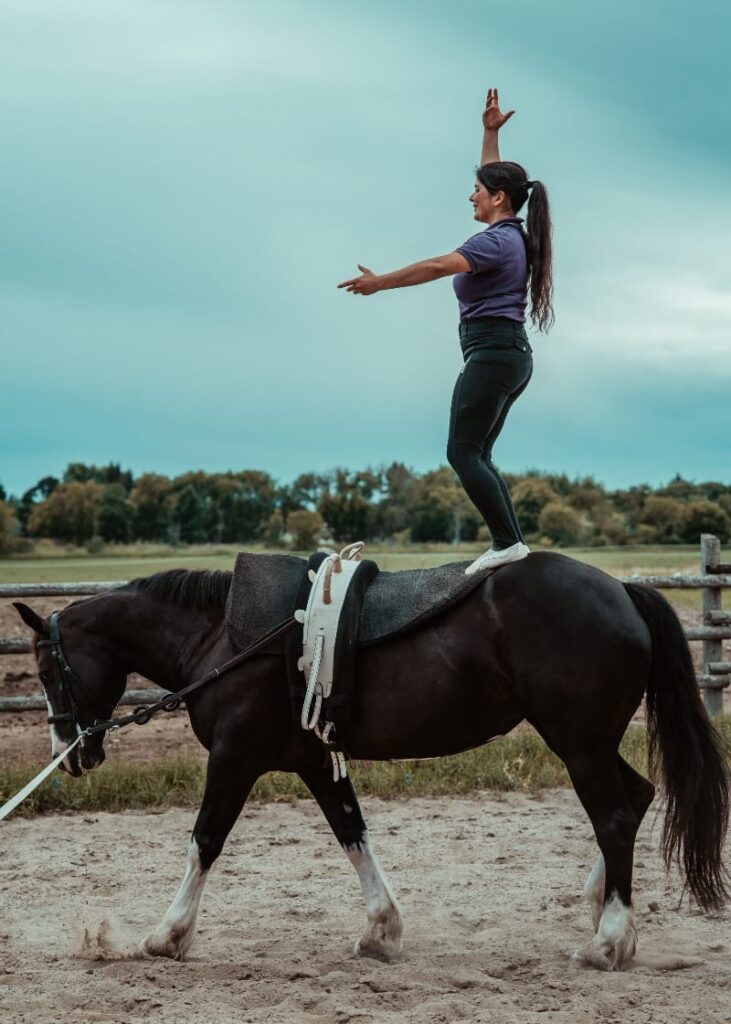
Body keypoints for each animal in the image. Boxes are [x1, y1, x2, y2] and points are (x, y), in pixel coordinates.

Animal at [14, 552, 724, 966]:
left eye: (48, 670)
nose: (68, 754)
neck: (223, 640)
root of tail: (622, 590)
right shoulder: (311, 761)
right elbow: (351, 833)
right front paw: (382, 931)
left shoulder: (235, 759)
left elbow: (204, 842)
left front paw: (167, 935)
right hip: (588, 742)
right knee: (636, 799)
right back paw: (601, 903)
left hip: (578, 743)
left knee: (615, 815)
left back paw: (608, 939)